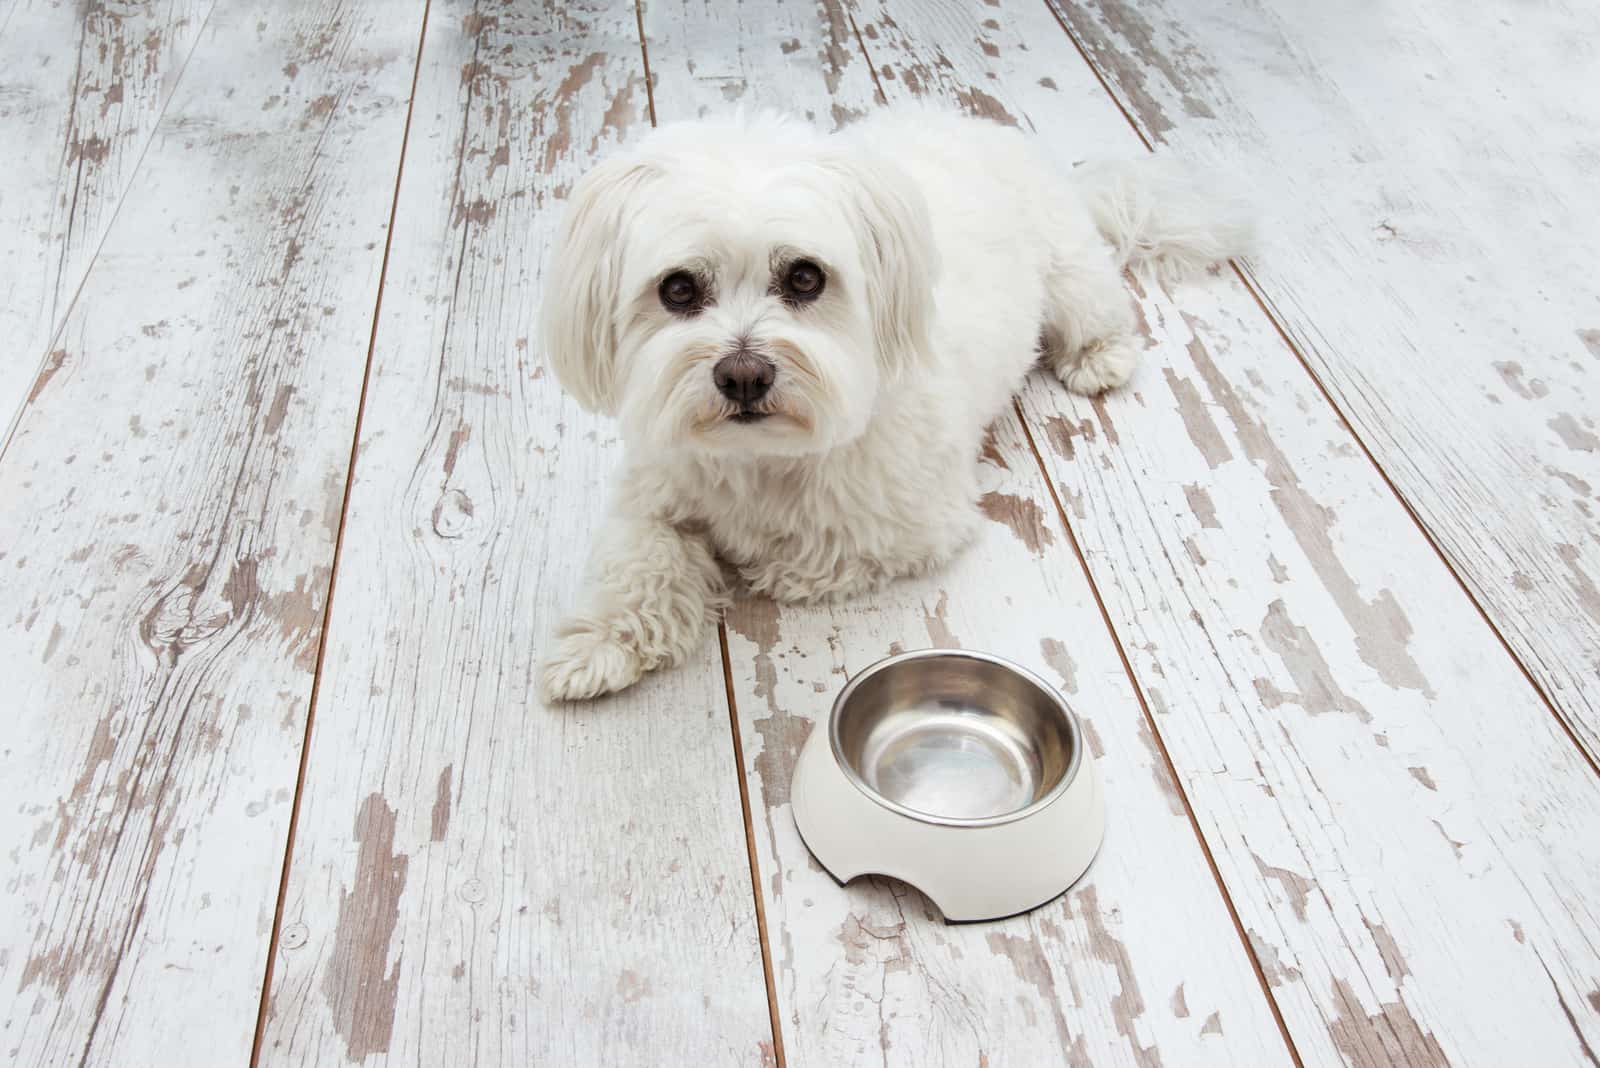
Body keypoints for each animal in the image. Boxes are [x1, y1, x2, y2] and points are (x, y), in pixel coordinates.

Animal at [537, 102, 1248, 700]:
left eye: (805, 277)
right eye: (678, 288)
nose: (743, 376)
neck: (763, 459)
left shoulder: (910, 525)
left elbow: (808, 554)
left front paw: (763, 563)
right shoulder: (652, 487)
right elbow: (638, 558)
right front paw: (600, 643)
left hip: (1071, 273)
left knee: (1099, 309)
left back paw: (1099, 355)